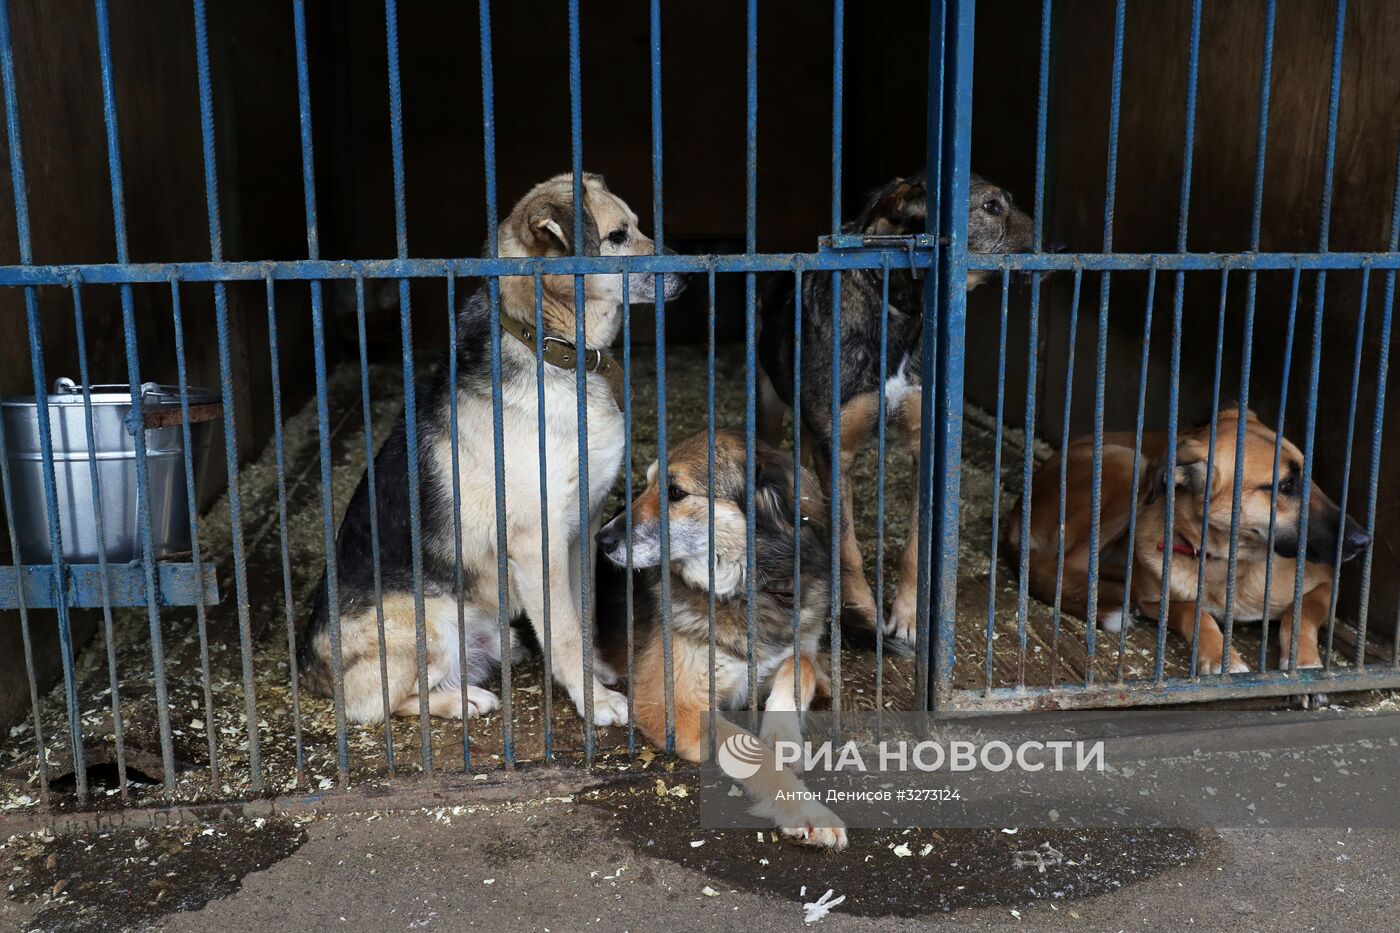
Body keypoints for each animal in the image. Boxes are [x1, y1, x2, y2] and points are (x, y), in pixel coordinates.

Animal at [1013, 406, 1372, 669]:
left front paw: (1304, 661)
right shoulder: (1160, 602)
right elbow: (1195, 613)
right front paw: (1219, 656)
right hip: (1131, 465)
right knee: (1066, 565)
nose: (1362, 540)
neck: (1228, 561)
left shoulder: (1326, 585)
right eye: (1285, 486)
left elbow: (1300, 614)